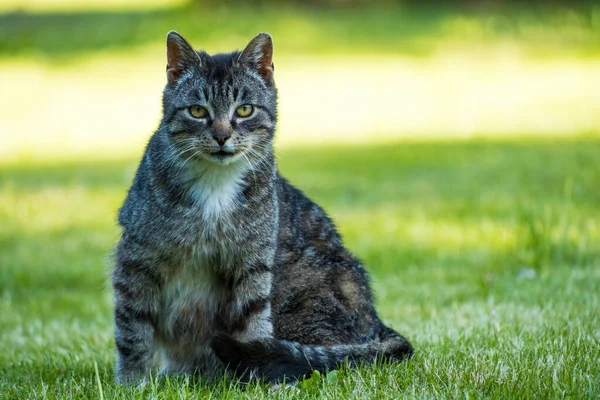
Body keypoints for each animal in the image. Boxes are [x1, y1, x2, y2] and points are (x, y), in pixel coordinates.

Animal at [112, 30, 412, 384]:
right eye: (197, 111)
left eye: (244, 110)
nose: (222, 135)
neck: (216, 185)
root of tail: (377, 323)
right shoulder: (138, 259)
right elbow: (132, 330)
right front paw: (131, 383)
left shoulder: (253, 261)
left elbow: (253, 322)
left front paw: (254, 373)